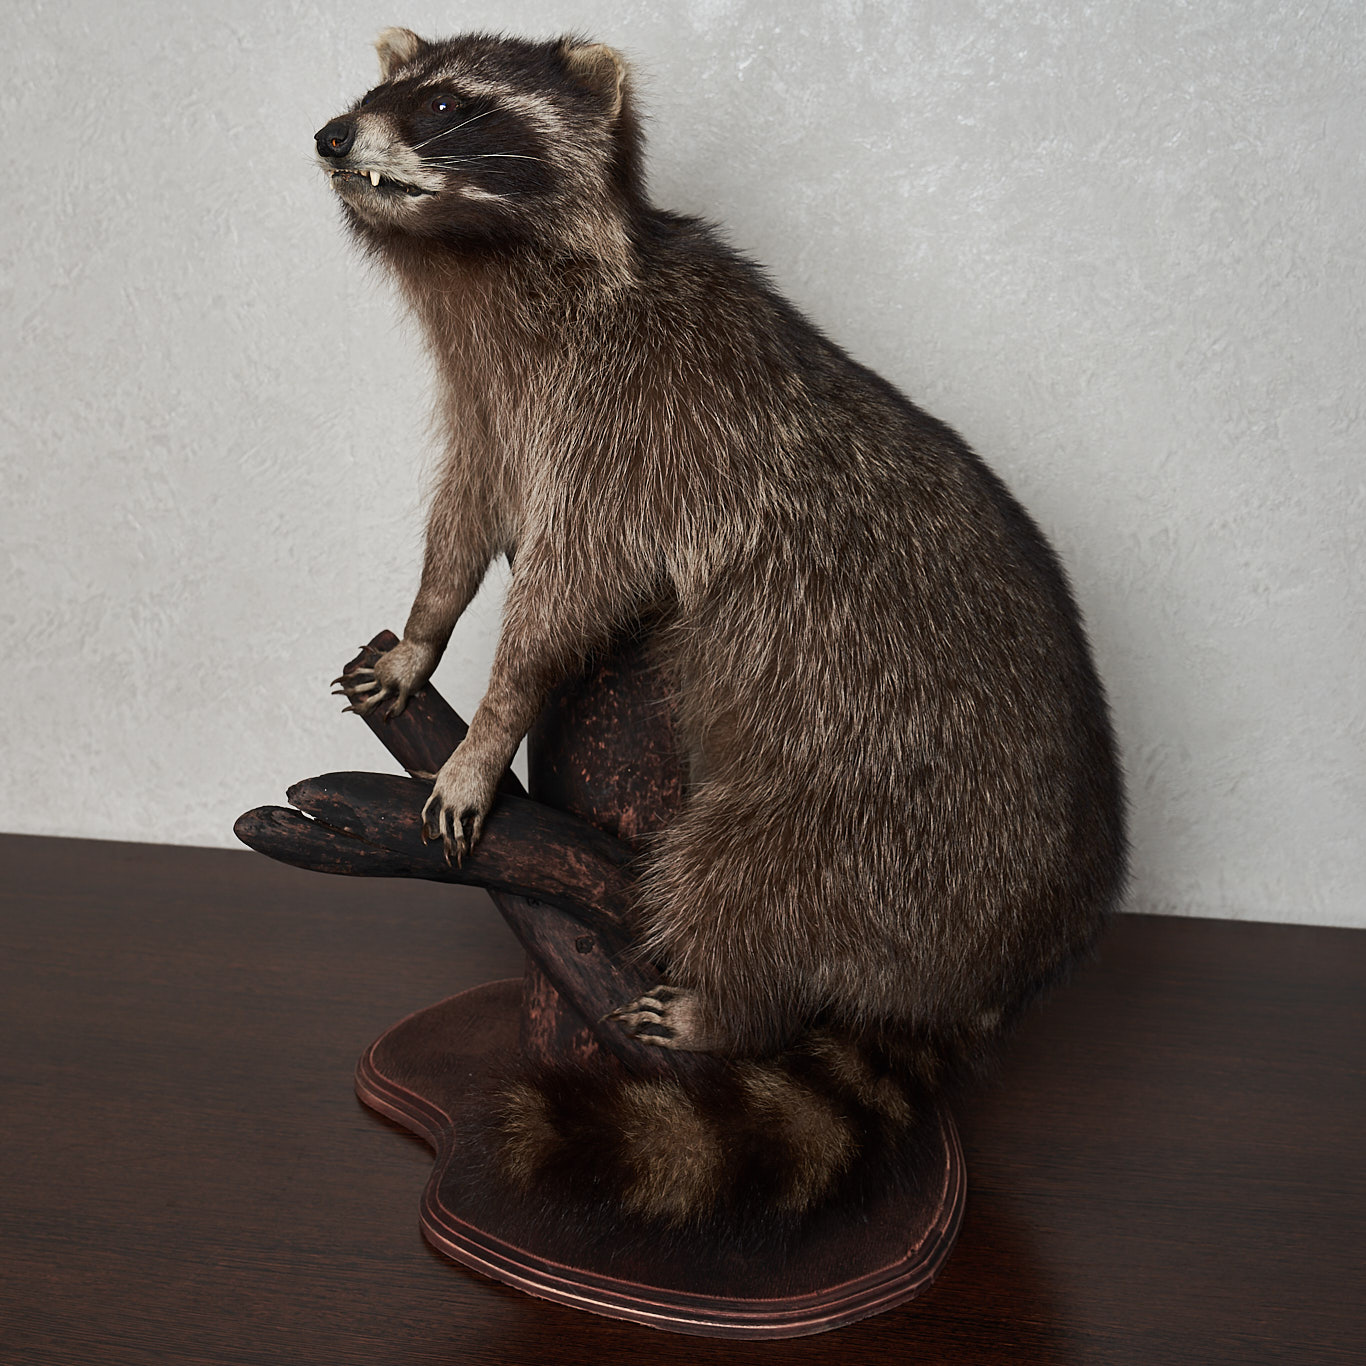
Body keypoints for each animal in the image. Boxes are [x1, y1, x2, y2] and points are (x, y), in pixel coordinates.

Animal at [320, 29, 1126, 1233]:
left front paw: (486, 732)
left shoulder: (635, 428)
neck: (479, 267)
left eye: (448, 106)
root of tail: (1003, 965)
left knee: (731, 881)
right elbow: (466, 518)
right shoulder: (497, 404)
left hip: (878, 821)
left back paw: (732, 1007)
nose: (333, 135)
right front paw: (425, 631)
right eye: (376, 90)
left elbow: (565, 599)